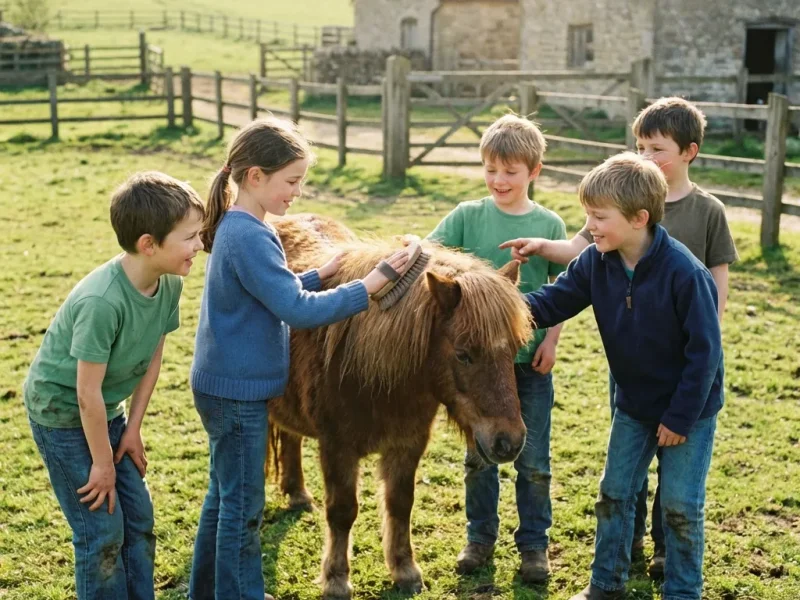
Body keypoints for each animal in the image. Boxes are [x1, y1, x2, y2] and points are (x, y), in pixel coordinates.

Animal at [268, 214, 533, 599]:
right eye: (464, 354)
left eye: (514, 349)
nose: (509, 441)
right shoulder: (337, 448)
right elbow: (342, 511)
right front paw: (336, 579)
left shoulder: (408, 445)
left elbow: (400, 503)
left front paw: (404, 570)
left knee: (291, 436)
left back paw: (298, 493)